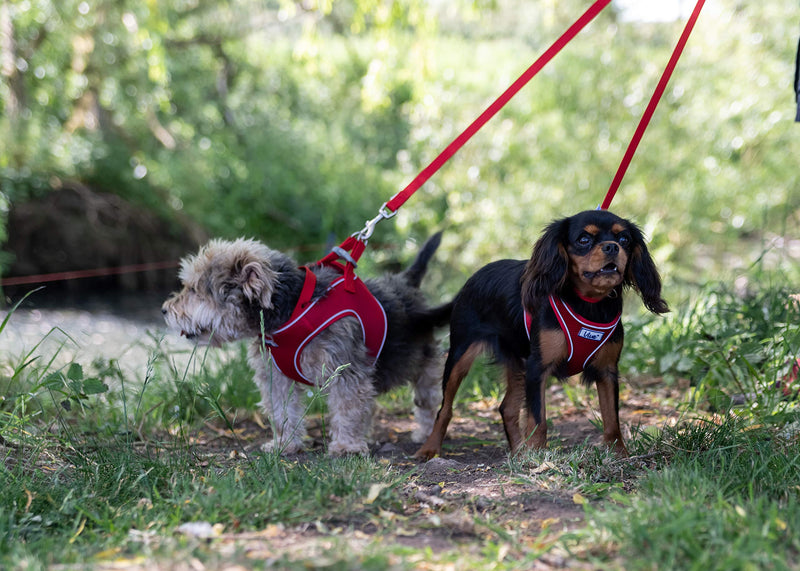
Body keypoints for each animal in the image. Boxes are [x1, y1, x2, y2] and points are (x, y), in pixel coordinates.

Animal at [162, 232, 450, 456]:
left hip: (419, 363)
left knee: (427, 401)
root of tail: (407, 281)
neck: (291, 310)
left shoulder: (345, 372)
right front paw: (285, 444)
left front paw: (346, 446)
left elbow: (348, 408)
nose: (165, 310)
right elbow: (282, 412)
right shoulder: (275, 377)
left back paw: (425, 433)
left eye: (194, 290)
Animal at [416, 210, 664, 460]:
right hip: (460, 356)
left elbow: (612, 419)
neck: (589, 302)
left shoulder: (607, 371)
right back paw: (429, 449)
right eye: (584, 240)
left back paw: (519, 453)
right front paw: (536, 455)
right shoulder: (538, 367)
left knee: (507, 408)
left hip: (517, 364)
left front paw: (619, 454)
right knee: (445, 408)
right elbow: (538, 418)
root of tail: (476, 275)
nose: (612, 247)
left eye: (624, 239)